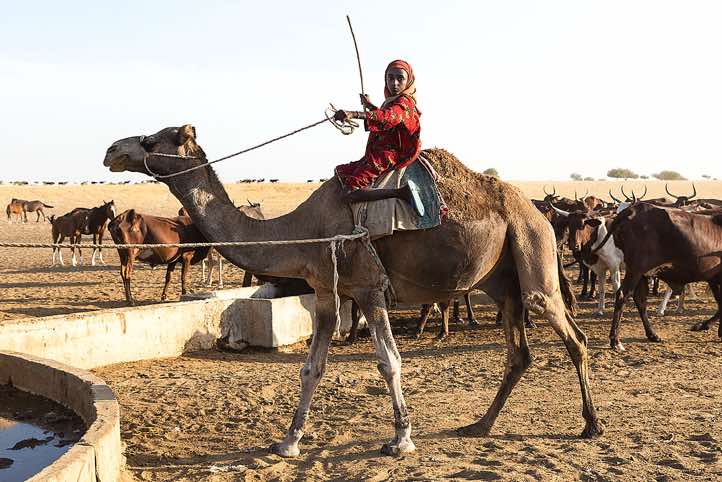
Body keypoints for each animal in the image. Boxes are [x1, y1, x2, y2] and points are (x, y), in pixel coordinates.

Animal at [103, 124, 603, 457]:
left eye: (154, 139)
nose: (111, 149)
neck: (302, 229)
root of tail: (540, 212)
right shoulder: (328, 291)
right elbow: (311, 368)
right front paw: (288, 441)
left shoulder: (368, 287)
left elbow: (389, 362)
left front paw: (401, 440)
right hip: (502, 281)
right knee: (519, 352)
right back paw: (479, 425)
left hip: (533, 252)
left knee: (573, 336)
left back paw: (591, 425)